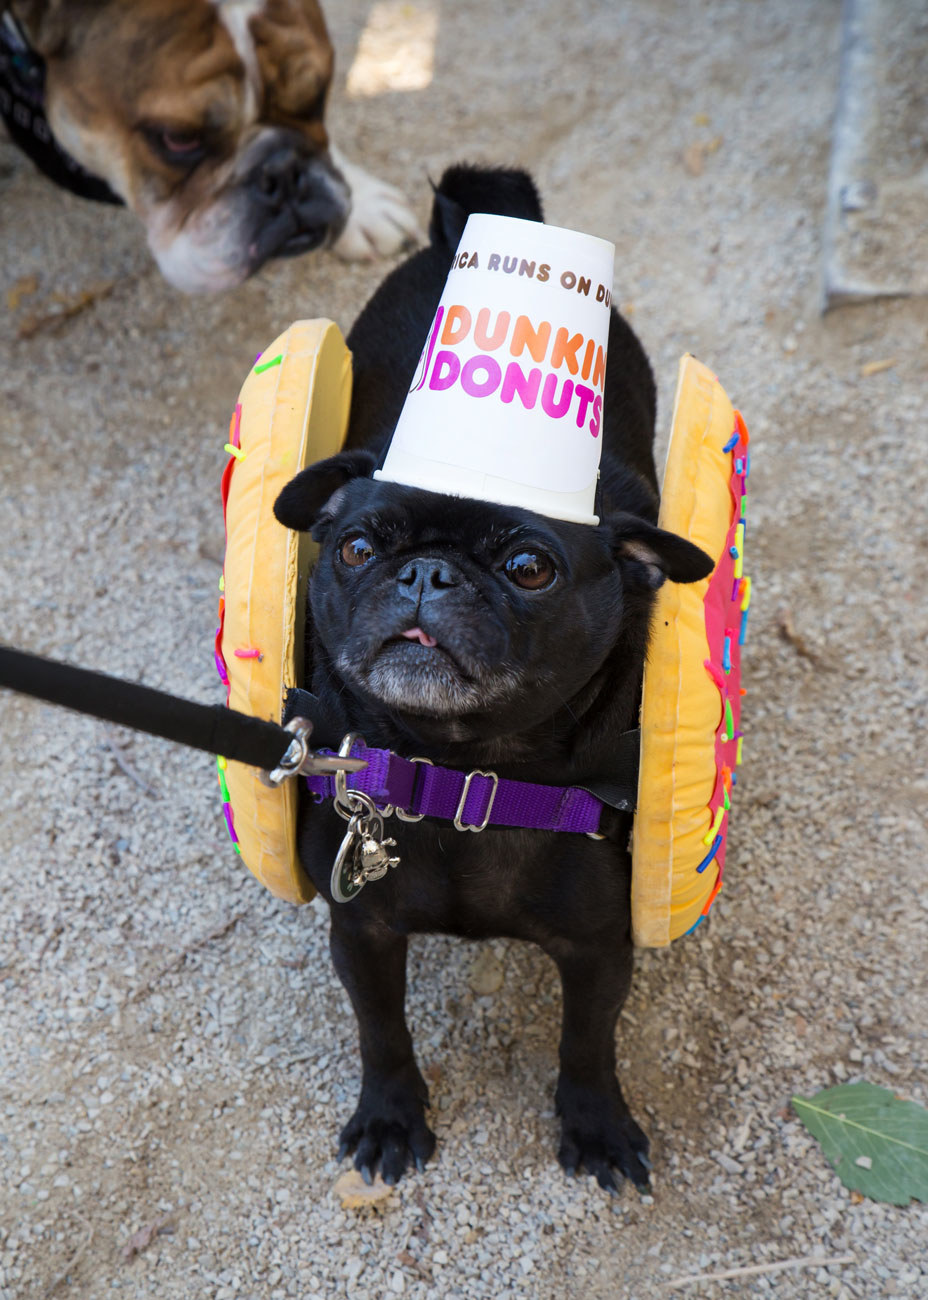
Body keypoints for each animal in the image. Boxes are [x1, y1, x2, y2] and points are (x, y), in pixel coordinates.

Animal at [271, 162, 712, 1190]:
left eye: (529, 567)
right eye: (354, 547)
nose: (428, 573)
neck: (464, 771)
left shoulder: (598, 950)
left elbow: (587, 1043)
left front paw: (597, 1126)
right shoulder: (362, 932)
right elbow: (382, 1032)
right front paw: (389, 1119)